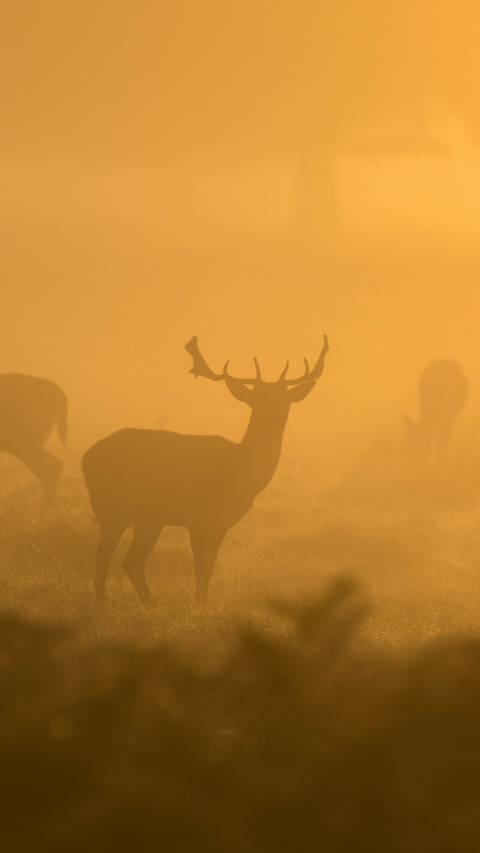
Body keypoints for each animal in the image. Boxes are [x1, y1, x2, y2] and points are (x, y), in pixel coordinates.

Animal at [82, 335, 329, 607]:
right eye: (256, 400)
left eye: (285, 400)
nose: (274, 416)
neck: (238, 473)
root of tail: (86, 457)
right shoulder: (198, 518)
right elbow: (200, 569)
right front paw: (199, 606)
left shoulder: (221, 523)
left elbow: (208, 570)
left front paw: (203, 604)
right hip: (111, 509)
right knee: (102, 559)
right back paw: (104, 604)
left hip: (147, 518)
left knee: (131, 560)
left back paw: (150, 604)